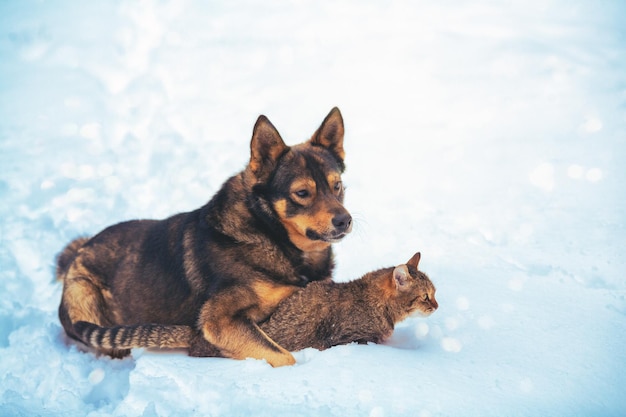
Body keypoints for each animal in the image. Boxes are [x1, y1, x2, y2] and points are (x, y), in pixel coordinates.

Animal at [57, 108, 352, 368]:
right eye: (302, 193)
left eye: (337, 186)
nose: (345, 220)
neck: (268, 231)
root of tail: (78, 252)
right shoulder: (219, 320)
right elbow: (284, 356)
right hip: (84, 293)